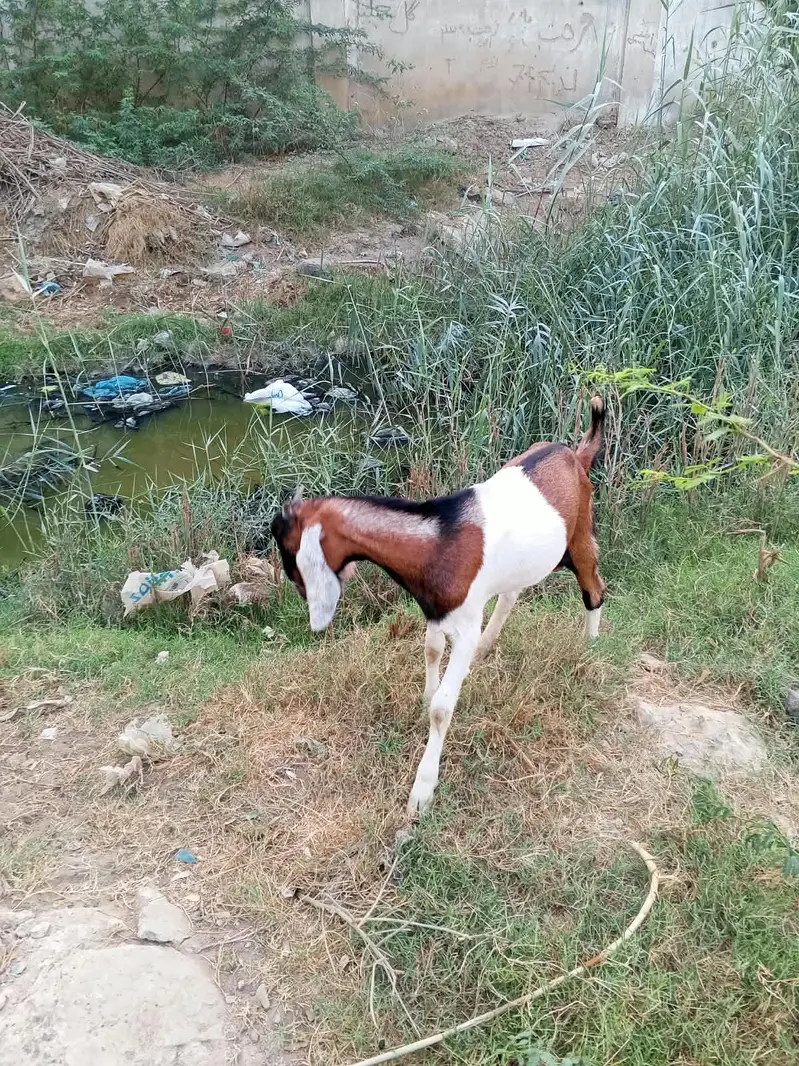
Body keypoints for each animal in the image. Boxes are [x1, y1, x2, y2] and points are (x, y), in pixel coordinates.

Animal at [270, 397, 607, 817]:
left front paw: (421, 793)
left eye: (289, 555)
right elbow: (431, 650)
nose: (304, 600)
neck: (438, 541)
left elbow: (443, 709)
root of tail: (576, 455)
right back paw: (488, 648)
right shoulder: (434, 609)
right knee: (511, 594)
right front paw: (425, 696)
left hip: (579, 537)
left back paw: (588, 647)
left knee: (594, 589)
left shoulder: (464, 625)